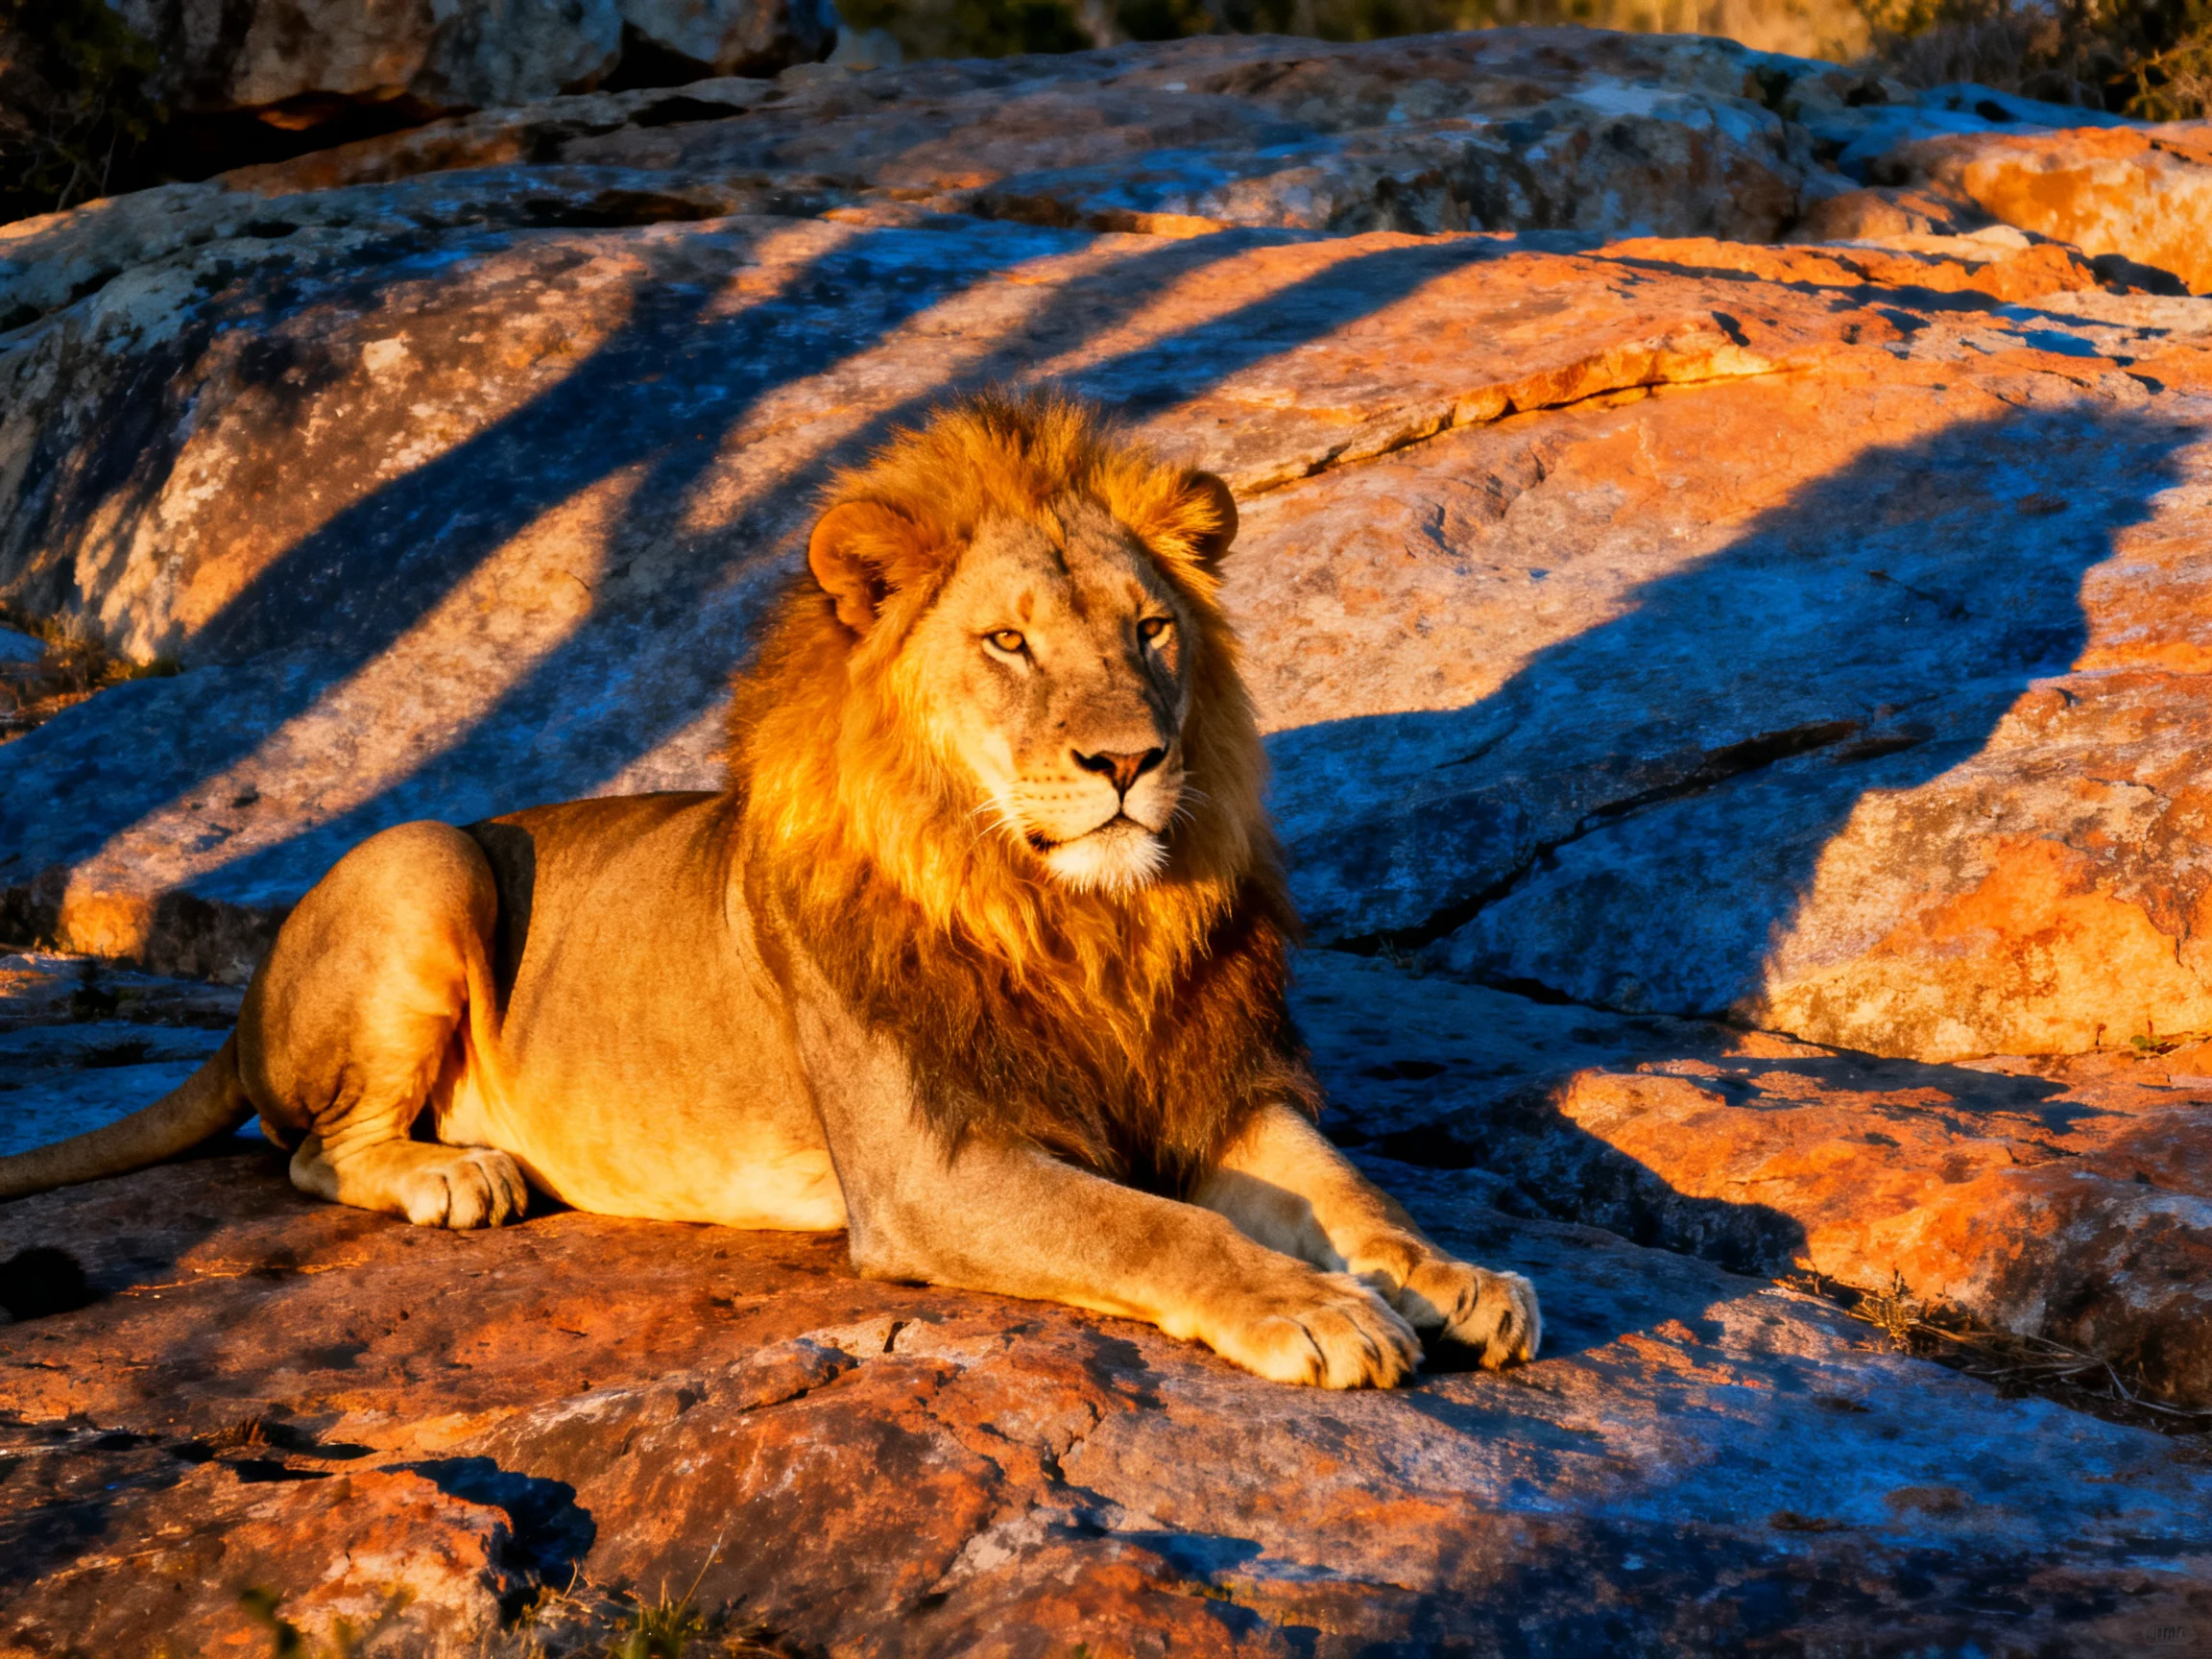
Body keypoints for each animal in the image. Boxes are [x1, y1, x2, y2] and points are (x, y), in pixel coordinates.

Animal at [0, 393, 1538, 1387]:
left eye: (1151, 628)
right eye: (1008, 644)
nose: (1129, 760)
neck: (1075, 917)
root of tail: (239, 1006)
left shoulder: (1211, 1087)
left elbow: (1351, 1193)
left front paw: (1453, 1278)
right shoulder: (932, 1168)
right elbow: (1156, 1227)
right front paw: (1322, 1315)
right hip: (426, 855)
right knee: (313, 1151)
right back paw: (462, 1177)